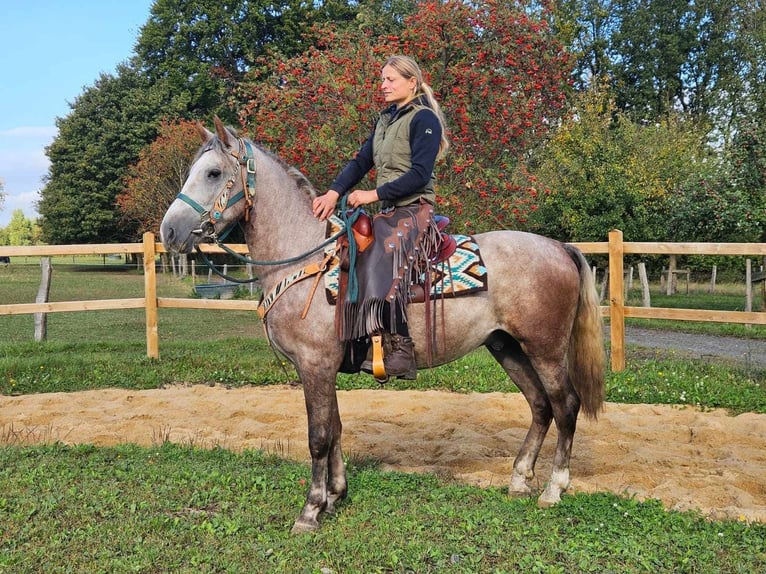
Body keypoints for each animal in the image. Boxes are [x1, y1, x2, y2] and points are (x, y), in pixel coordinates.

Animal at [160, 118, 608, 536]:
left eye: (213, 173)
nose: (169, 231)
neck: (306, 258)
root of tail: (559, 247)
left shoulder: (315, 364)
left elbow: (319, 435)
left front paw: (310, 510)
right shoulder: (324, 368)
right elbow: (336, 428)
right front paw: (335, 496)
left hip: (545, 348)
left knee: (565, 405)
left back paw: (554, 487)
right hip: (506, 346)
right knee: (539, 405)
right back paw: (519, 478)